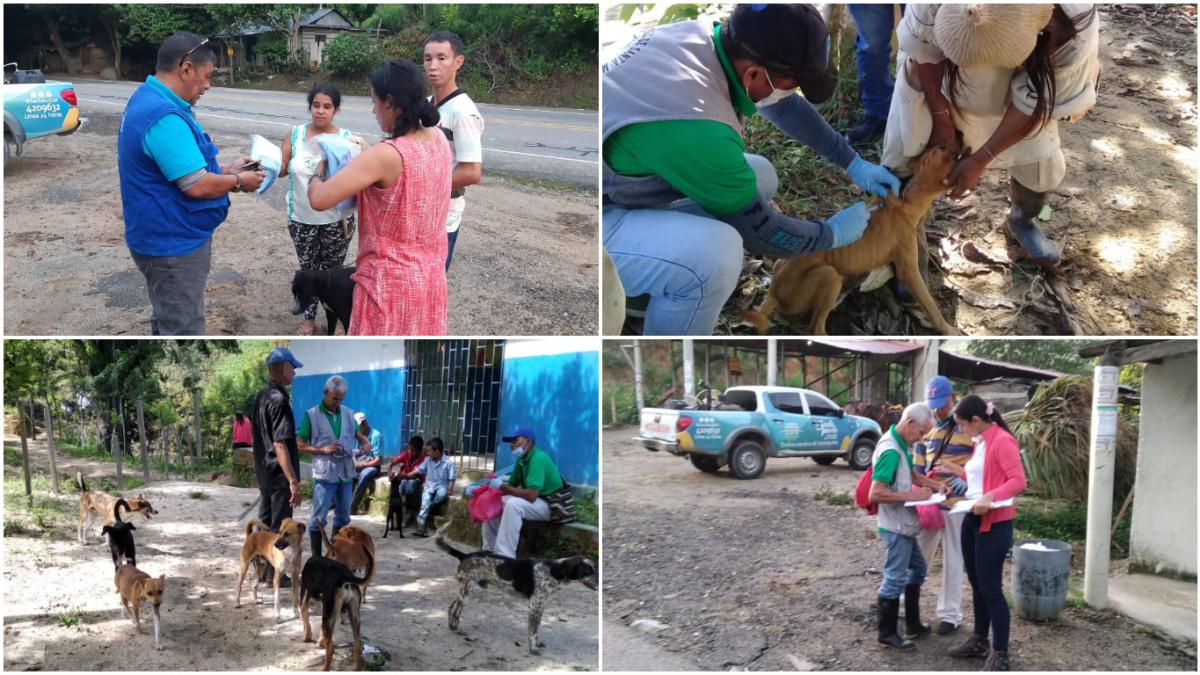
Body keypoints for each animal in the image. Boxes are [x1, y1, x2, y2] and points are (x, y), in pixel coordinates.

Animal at [436, 521, 595, 653]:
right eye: (588, 571)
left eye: (596, 570)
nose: (599, 583)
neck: (554, 571)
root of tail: (464, 555)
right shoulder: (535, 607)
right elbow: (533, 631)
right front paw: (533, 649)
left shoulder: (540, 607)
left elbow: (537, 629)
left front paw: (537, 644)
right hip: (467, 593)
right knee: (456, 611)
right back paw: (458, 630)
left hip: (463, 591)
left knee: (451, 608)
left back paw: (452, 627)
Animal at [744, 147, 960, 336]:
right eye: (942, 151)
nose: (959, 148)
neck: (906, 200)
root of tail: (775, 291)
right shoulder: (909, 271)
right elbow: (930, 305)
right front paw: (947, 329)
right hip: (829, 277)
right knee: (816, 329)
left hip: (783, 263)